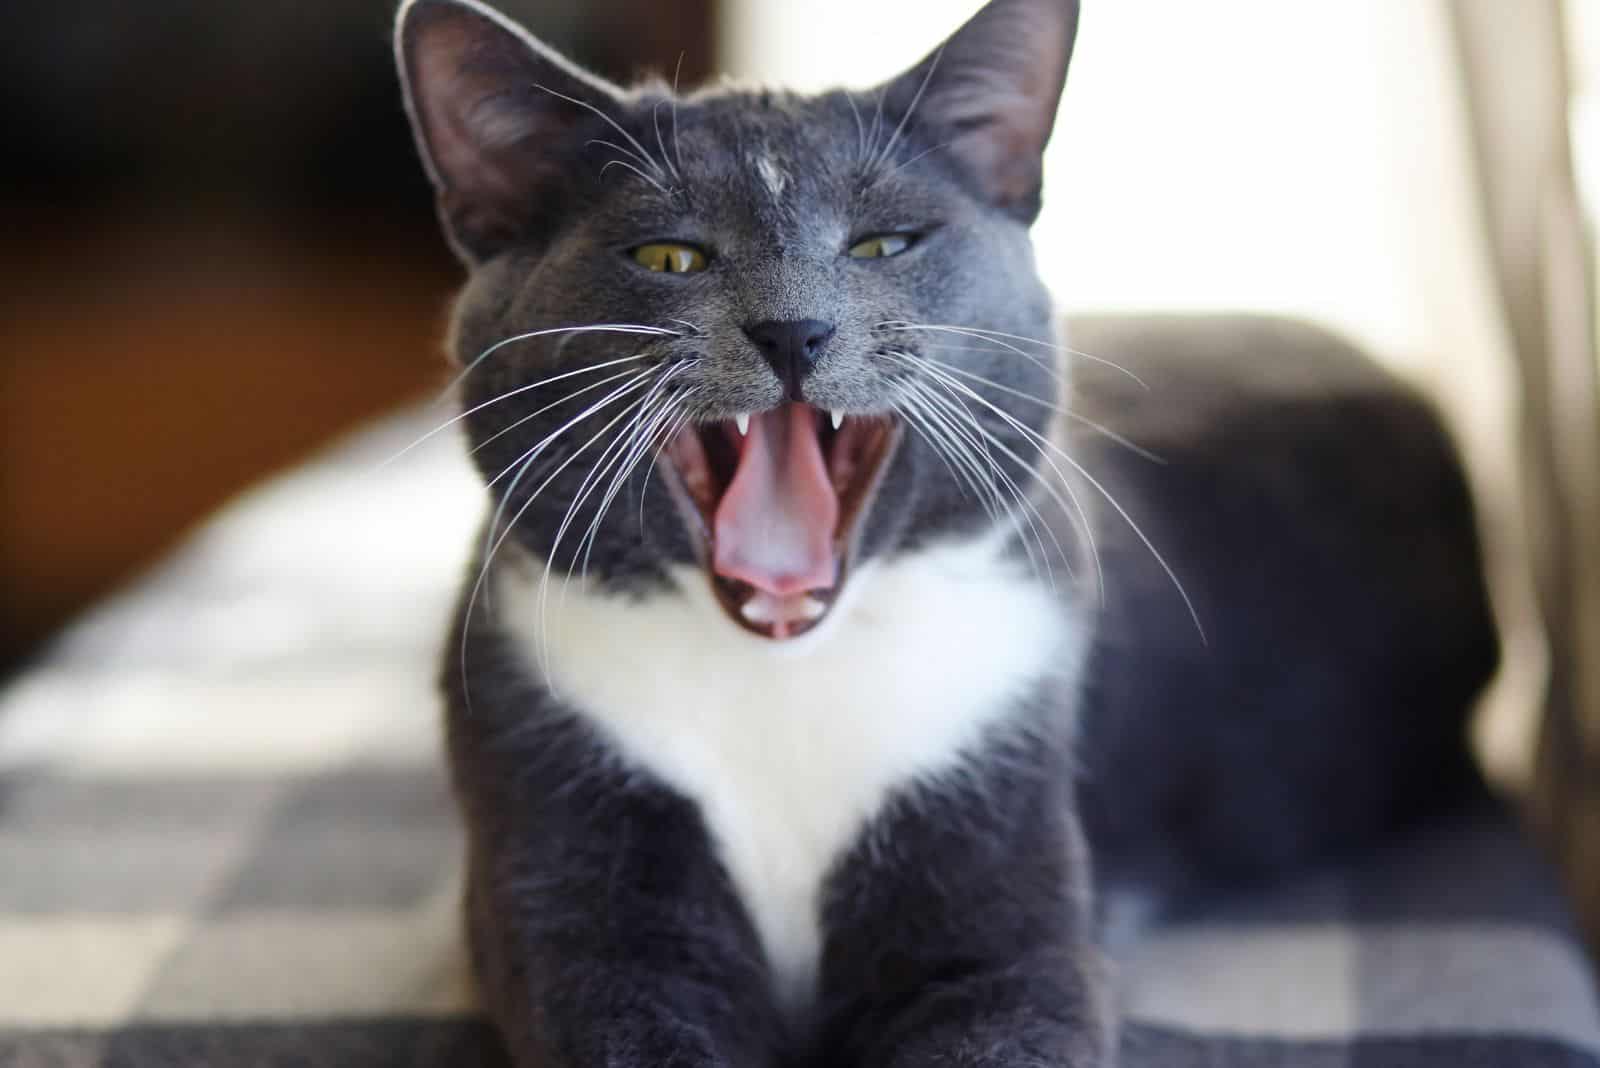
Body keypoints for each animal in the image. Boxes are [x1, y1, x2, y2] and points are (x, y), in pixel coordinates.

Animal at [390, 4, 1497, 1061]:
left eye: (883, 244)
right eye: (670, 254)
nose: (792, 330)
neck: (787, 678)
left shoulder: (1005, 873)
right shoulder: (572, 877)